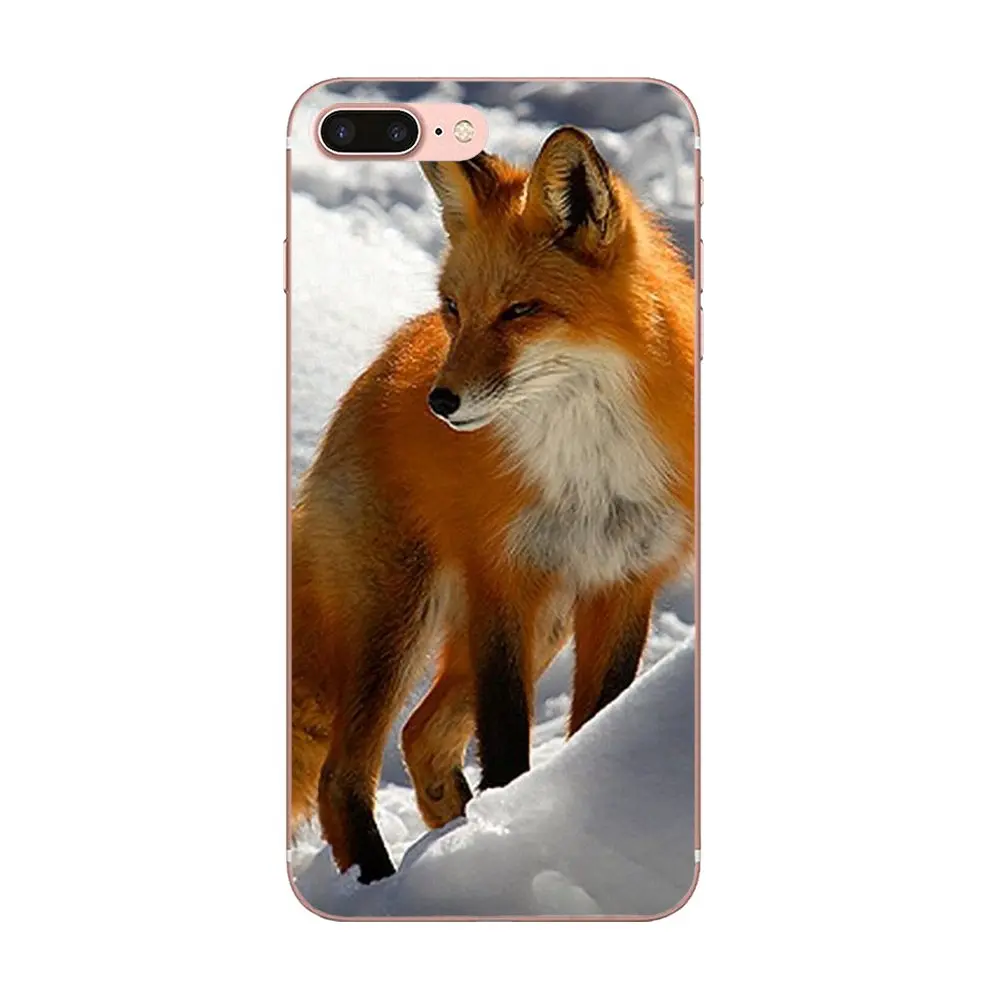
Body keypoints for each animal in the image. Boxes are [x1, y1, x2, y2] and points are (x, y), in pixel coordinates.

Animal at [290, 126, 695, 883]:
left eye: (521, 311)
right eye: (457, 308)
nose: (440, 403)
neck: (588, 460)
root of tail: (381, 366)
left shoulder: (624, 580)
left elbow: (598, 716)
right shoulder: (502, 578)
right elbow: (507, 740)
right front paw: (508, 823)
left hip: (544, 621)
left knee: (421, 738)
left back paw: (442, 841)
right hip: (396, 620)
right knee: (341, 776)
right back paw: (383, 884)